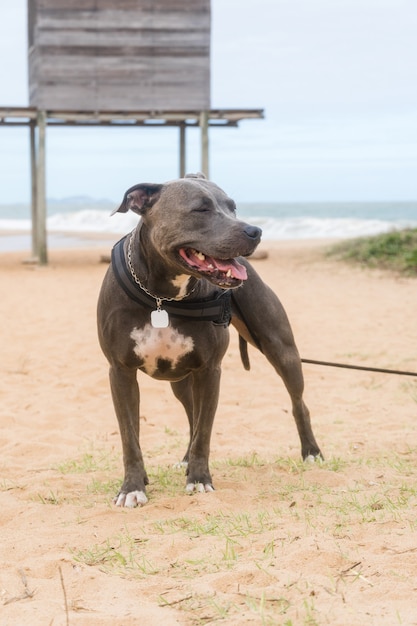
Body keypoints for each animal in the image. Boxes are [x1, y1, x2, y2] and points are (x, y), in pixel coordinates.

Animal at [97, 173, 322, 504]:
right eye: (201, 209)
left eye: (233, 207)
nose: (255, 231)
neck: (161, 298)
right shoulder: (121, 372)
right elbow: (130, 436)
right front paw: (133, 486)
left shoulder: (210, 370)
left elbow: (204, 431)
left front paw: (200, 479)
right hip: (179, 380)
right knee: (191, 413)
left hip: (282, 351)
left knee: (298, 403)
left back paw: (311, 451)